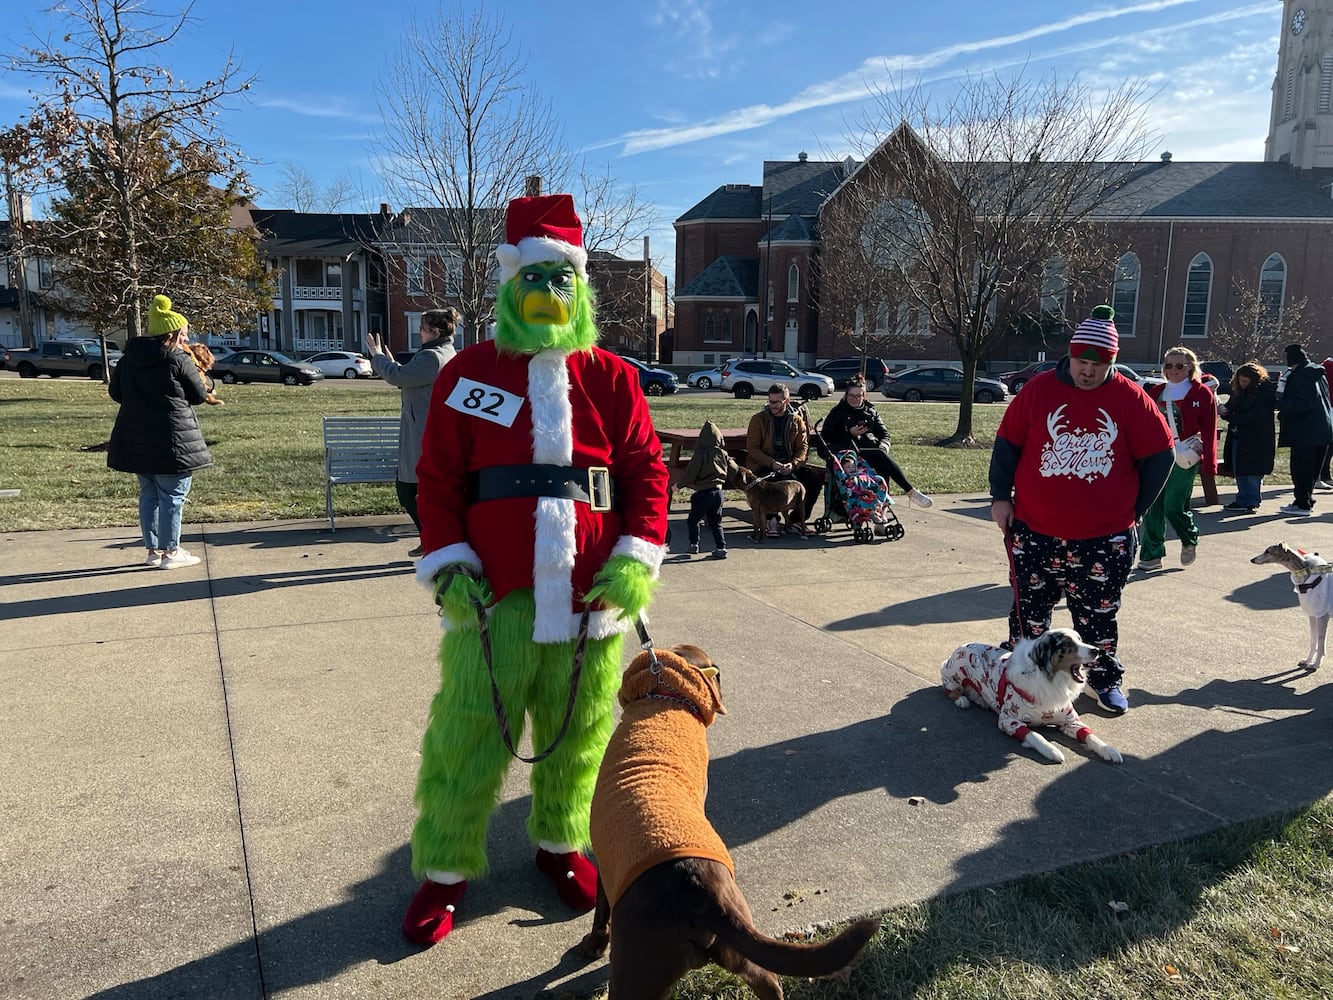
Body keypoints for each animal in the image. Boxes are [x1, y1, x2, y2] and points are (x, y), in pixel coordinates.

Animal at [581, 645, 874, 997]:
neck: (665, 700)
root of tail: (699, 891)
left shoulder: (606, 863)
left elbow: (600, 910)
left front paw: (594, 944)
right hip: (748, 960)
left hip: (635, 972)